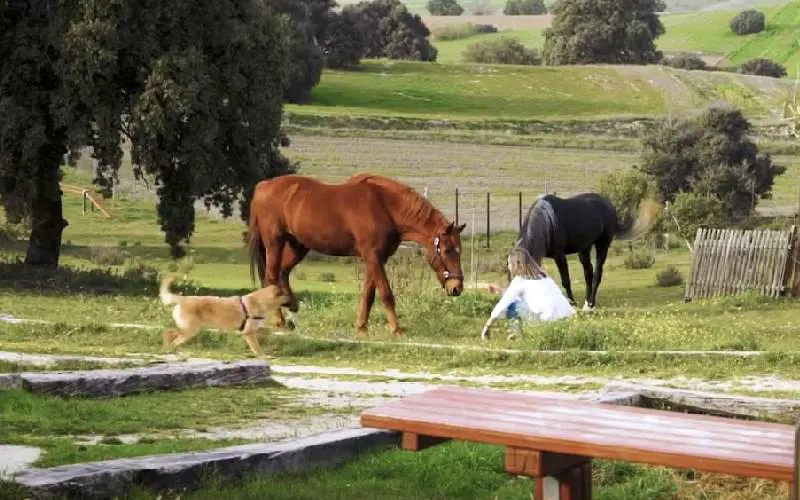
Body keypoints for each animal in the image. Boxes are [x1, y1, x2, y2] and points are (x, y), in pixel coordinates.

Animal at [159, 278, 290, 356]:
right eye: (287, 295)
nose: (293, 303)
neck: (259, 302)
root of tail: (183, 299)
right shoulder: (248, 333)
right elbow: (257, 347)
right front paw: (262, 355)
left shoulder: (250, 329)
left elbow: (267, 330)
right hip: (191, 330)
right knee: (170, 333)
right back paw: (169, 348)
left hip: (189, 330)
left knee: (170, 334)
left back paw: (169, 348)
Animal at [247, 172, 466, 336]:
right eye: (447, 250)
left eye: (459, 250)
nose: (456, 288)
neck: (384, 205)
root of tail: (263, 186)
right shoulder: (373, 256)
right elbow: (386, 293)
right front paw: (396, 329)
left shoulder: (377, 258)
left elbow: (368, 293)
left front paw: (361, 327)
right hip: (275, 242)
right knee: (272, 275)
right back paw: (280, 320)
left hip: (298, 246)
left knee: (283, 273)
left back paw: (291, 307)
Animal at [520, 193, 656, 310]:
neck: (548, 222)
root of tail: (609, 206)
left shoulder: (559, 256)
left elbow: (566, 281)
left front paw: (572, 304)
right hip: (585, 248)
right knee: (588, 272)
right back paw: (586, 303)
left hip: (602, 244)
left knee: (597, 273)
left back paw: (590, 304)